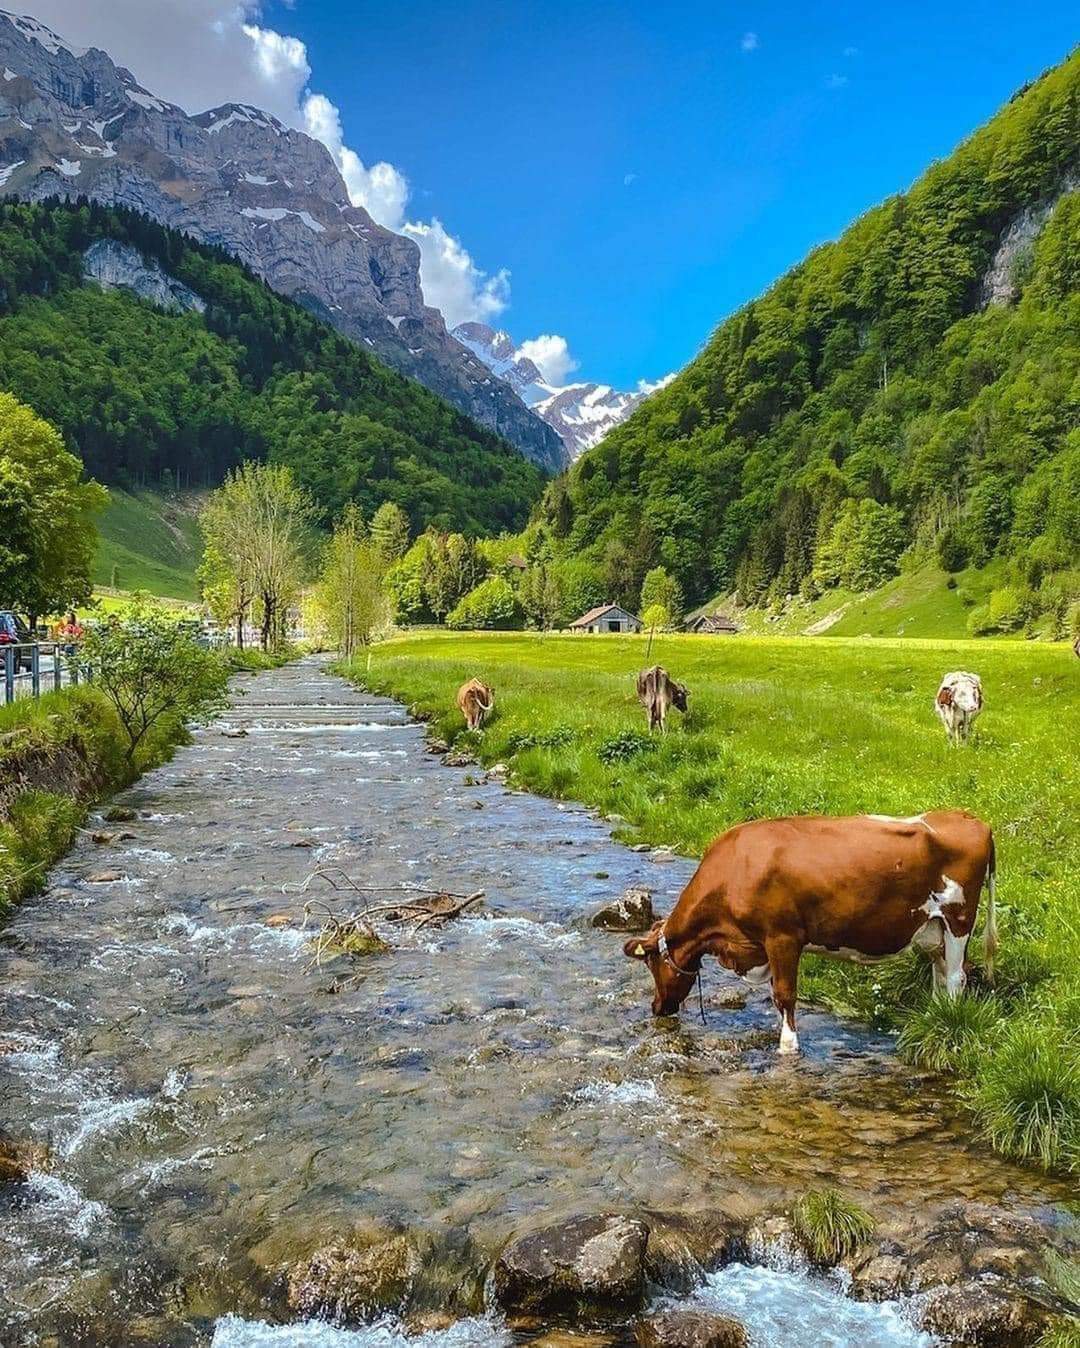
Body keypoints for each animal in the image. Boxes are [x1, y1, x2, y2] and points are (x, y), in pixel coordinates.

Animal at [623, 810, 996, 1055]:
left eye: (652, 964)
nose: (657, 1007)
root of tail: (970, 818)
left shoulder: (783, 938)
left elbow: (784, 995)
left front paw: (788, 1047)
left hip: (958, 919)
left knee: (956, 977)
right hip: (933, 928)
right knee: (940, 972)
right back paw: (933, 1016)